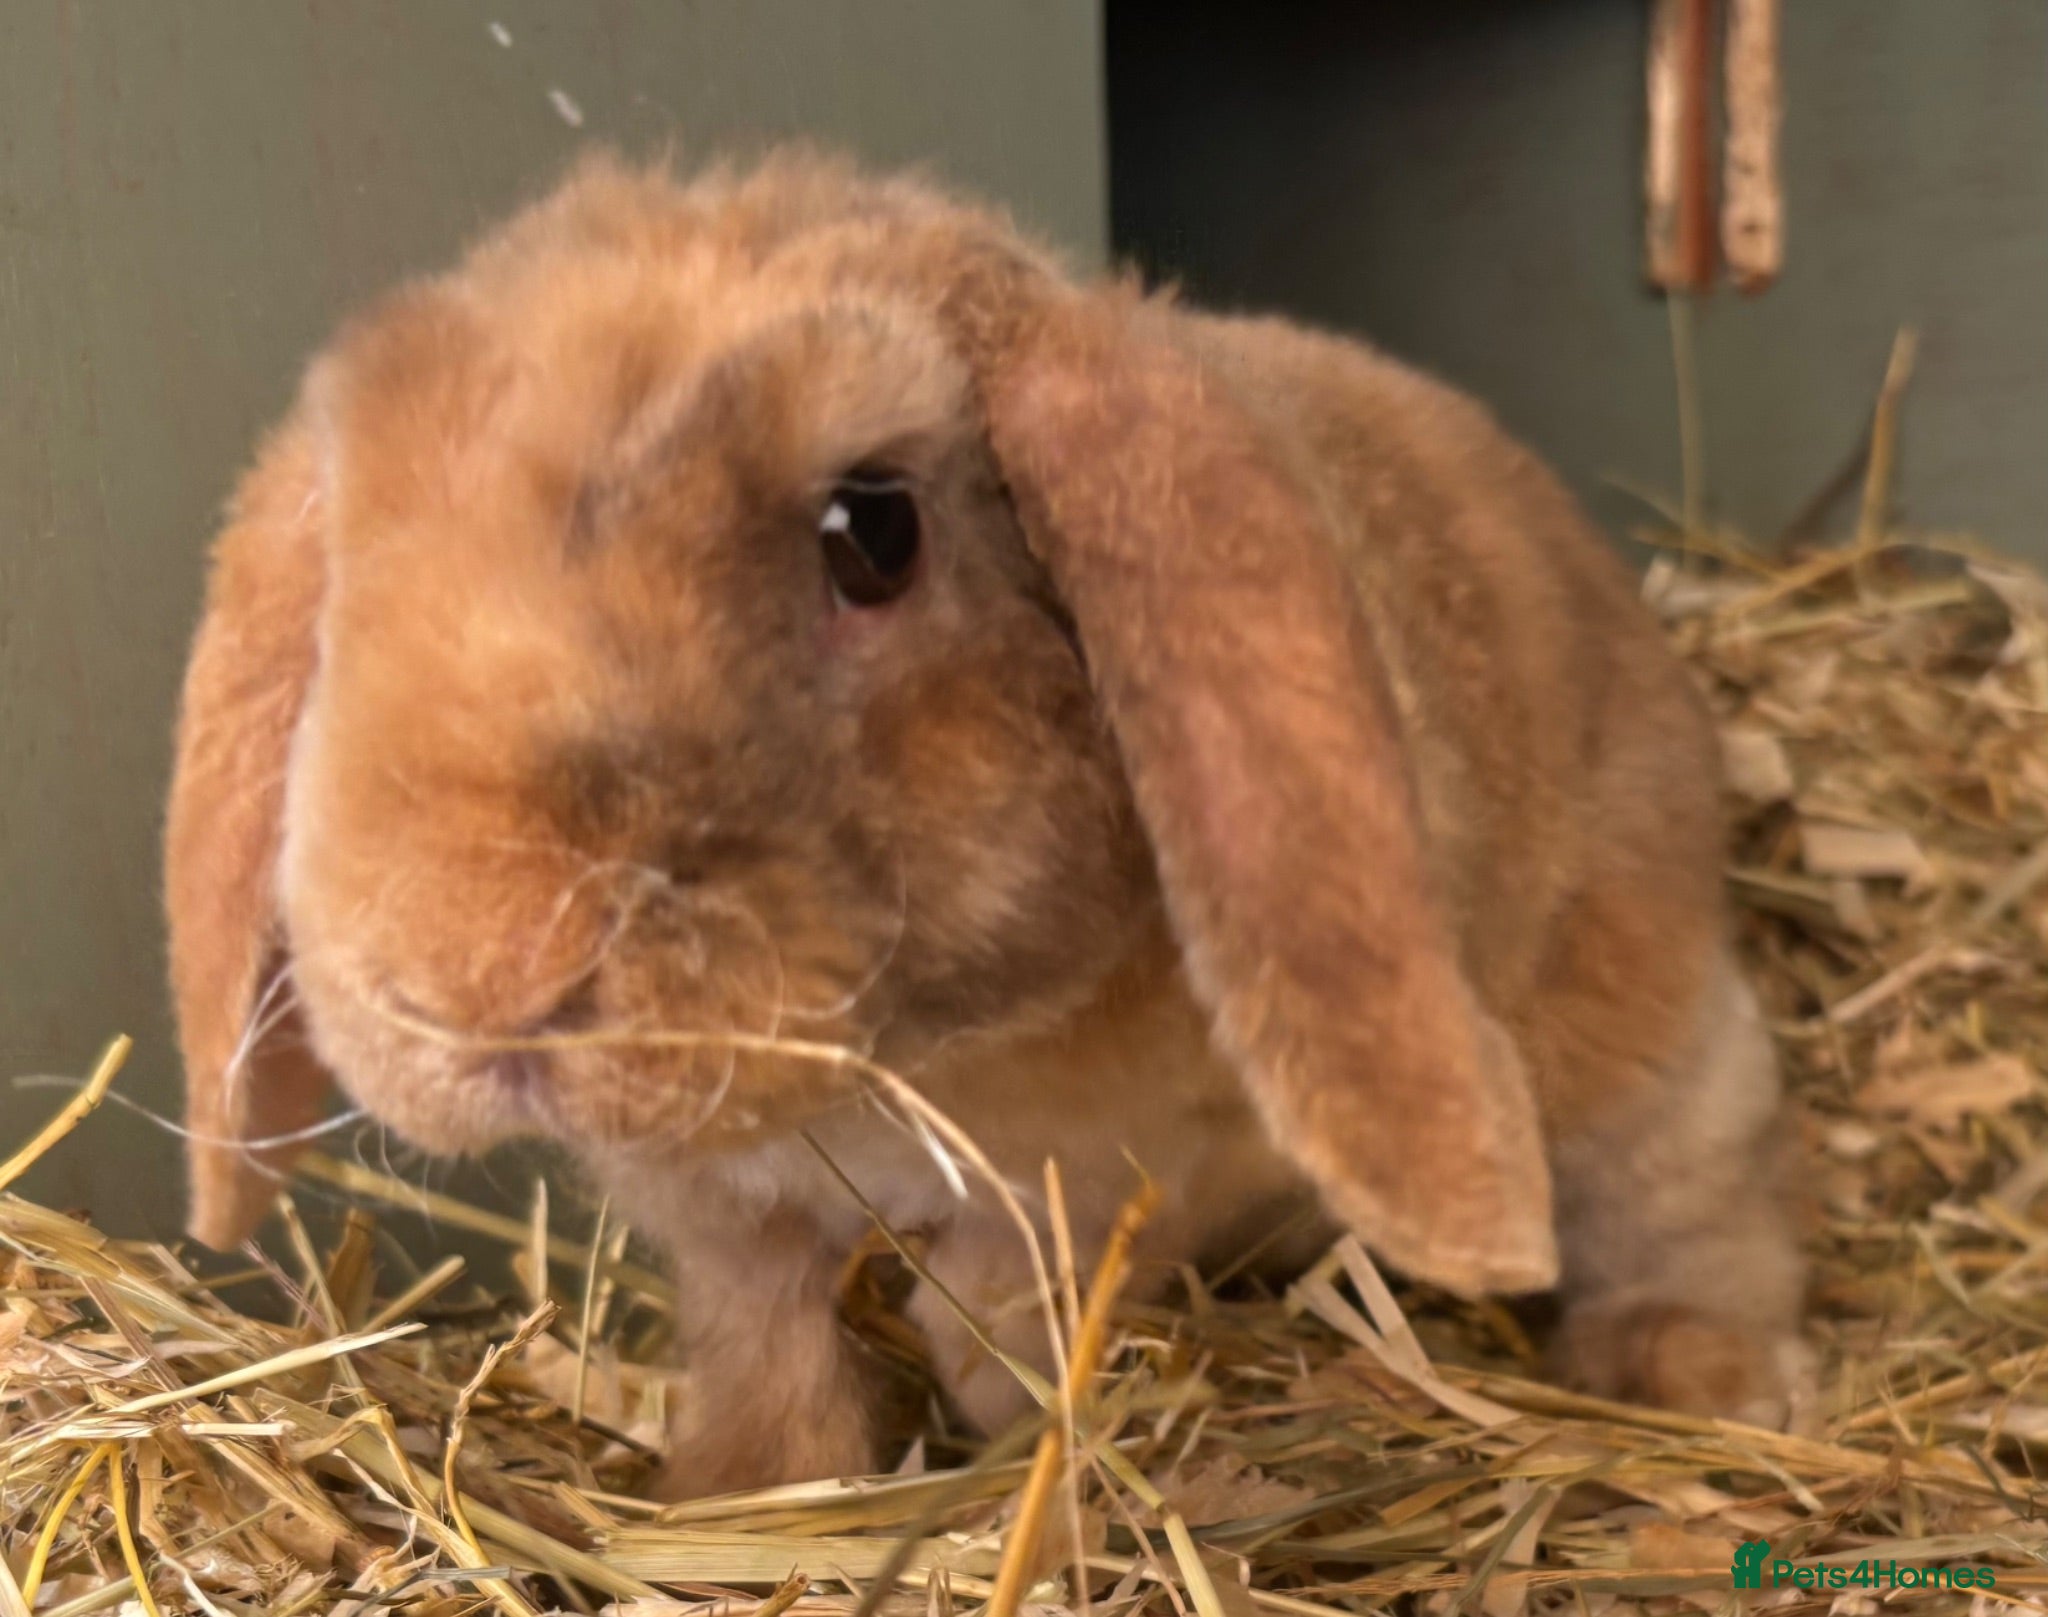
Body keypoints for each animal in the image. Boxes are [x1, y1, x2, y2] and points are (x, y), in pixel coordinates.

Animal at [166, 150, 1807, 1498]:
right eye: (348, 561)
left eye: (873, 530)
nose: (480, 964)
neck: (885, 1071)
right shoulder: (725, 1219)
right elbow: (766, 1345)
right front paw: (742, 1493)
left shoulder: (1123, 1171)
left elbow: (995, 1307)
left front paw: (1013, 1432)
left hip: (1635, 1022)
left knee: (1690, 1181)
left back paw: (1701, 1375)